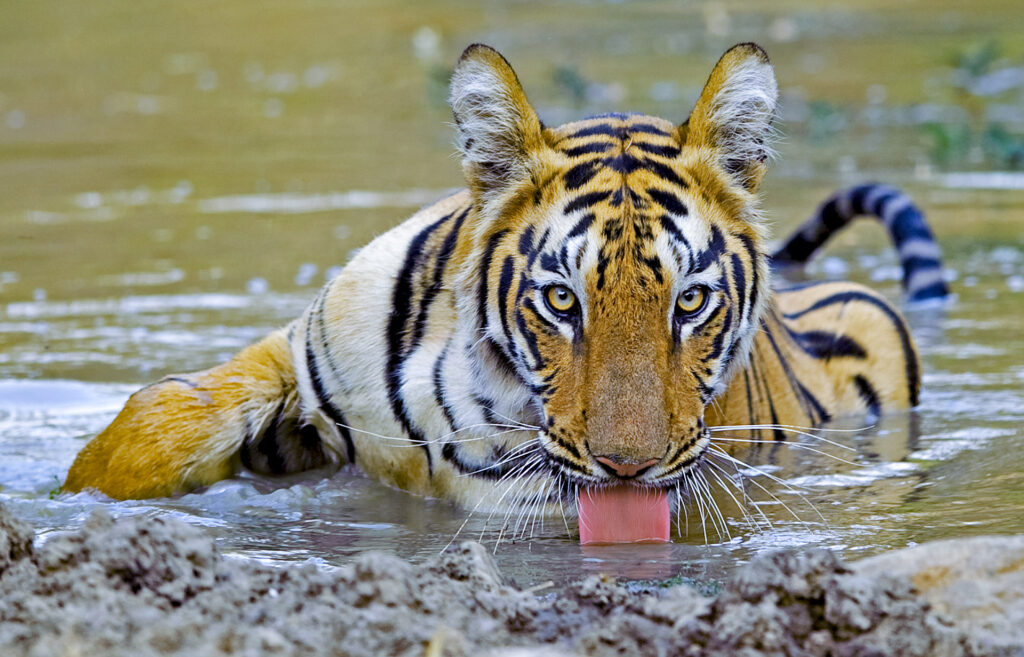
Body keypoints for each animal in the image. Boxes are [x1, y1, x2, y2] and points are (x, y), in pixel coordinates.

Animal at [64, 43, 948, 541]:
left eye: (690, 302)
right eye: (562, 301)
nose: (628, 468)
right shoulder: (302, 354)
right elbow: (151, 418)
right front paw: (75, 494)